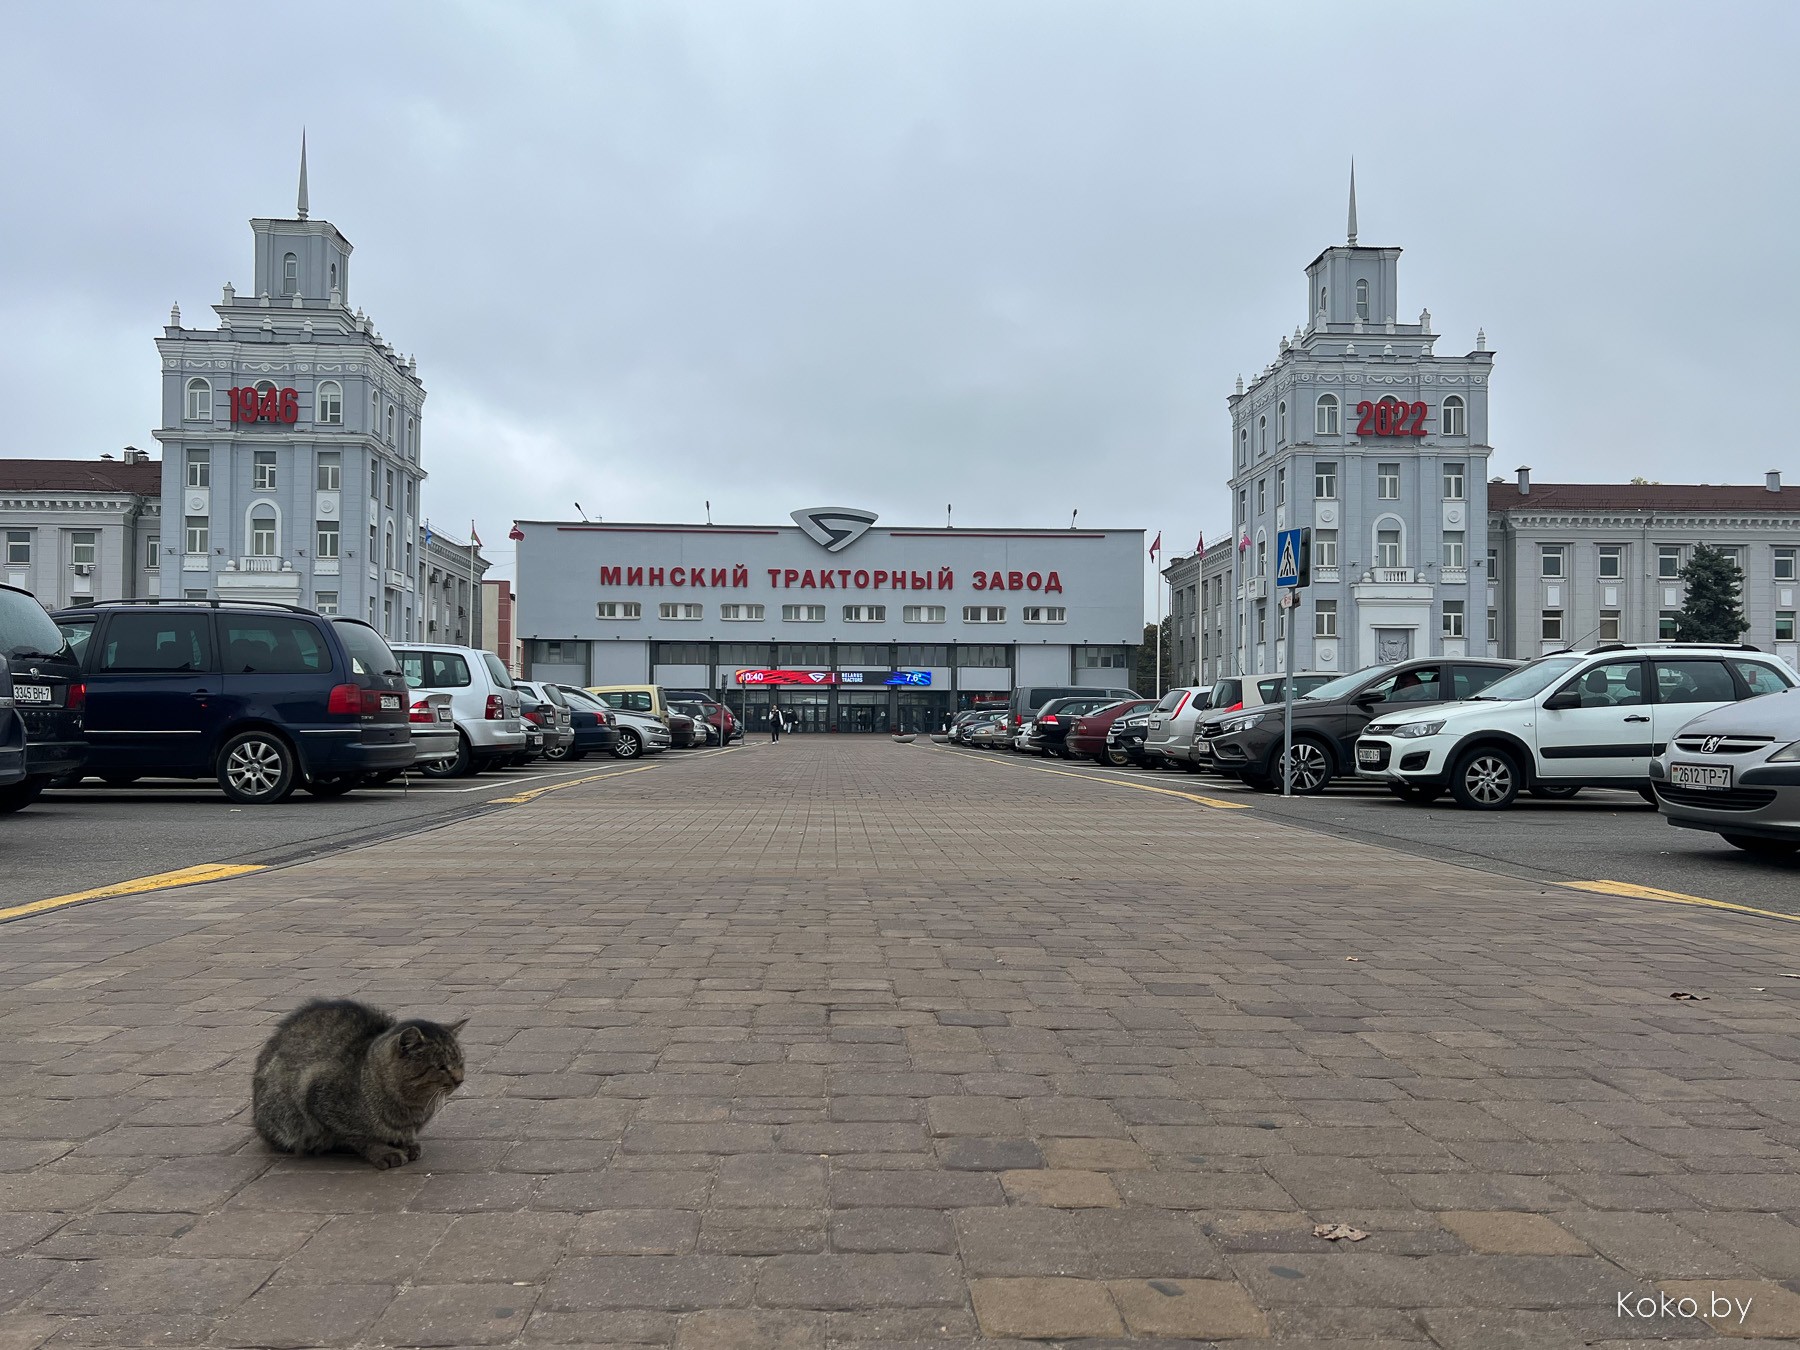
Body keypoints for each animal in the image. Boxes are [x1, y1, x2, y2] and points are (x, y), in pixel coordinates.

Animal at [252, 993, 464, 1173]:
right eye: (441, 1067)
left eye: (460, 1061)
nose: (460, 1079)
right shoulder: (316, 1096)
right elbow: (360, 1137)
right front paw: (384, 1151)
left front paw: (406, 1144)